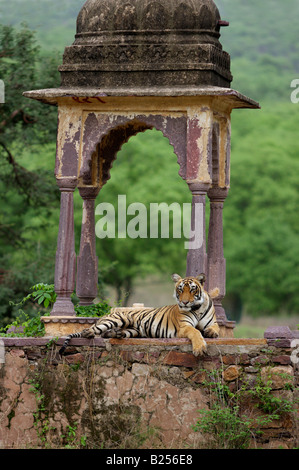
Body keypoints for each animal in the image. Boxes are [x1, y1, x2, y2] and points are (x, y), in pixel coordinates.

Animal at [59, 272, 220, 356]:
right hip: (118, 319)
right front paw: (200, 348)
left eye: (192, 289)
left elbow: (214, 329)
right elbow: (195, 332)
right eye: (180, 289)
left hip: (134, 330)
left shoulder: (213, 322)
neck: (197, 308)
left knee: (108, 333)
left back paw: (115, 333)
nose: (184, 302)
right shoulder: (184, 327)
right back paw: (90, 333)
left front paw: (210, 333)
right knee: (90, 330)